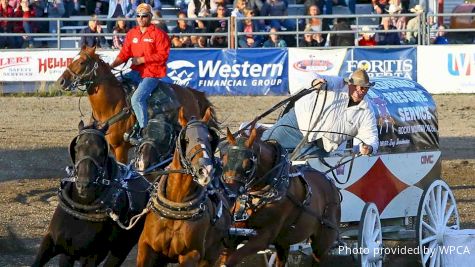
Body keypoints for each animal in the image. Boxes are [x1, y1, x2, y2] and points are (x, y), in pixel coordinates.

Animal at [32, 122, 148, 267]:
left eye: (102, 151)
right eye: (76, 148)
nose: (84, 185)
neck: (81, 209)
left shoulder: (92, 257)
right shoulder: (52, 244)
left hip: (121, 249)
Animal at [136, 107, 232, 267]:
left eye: (210, 139)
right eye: (186, 139)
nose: (205, 170)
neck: (177, 206)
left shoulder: (191, 255)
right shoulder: (146, 247)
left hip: (211, 255)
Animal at [219, 127, 342, 267]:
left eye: (248, 164)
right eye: (223, 160)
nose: (229, 192)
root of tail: (332, 184)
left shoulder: (264, 237)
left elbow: (232, 259)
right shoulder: (235, 233)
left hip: (322, 244)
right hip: (283, 242)